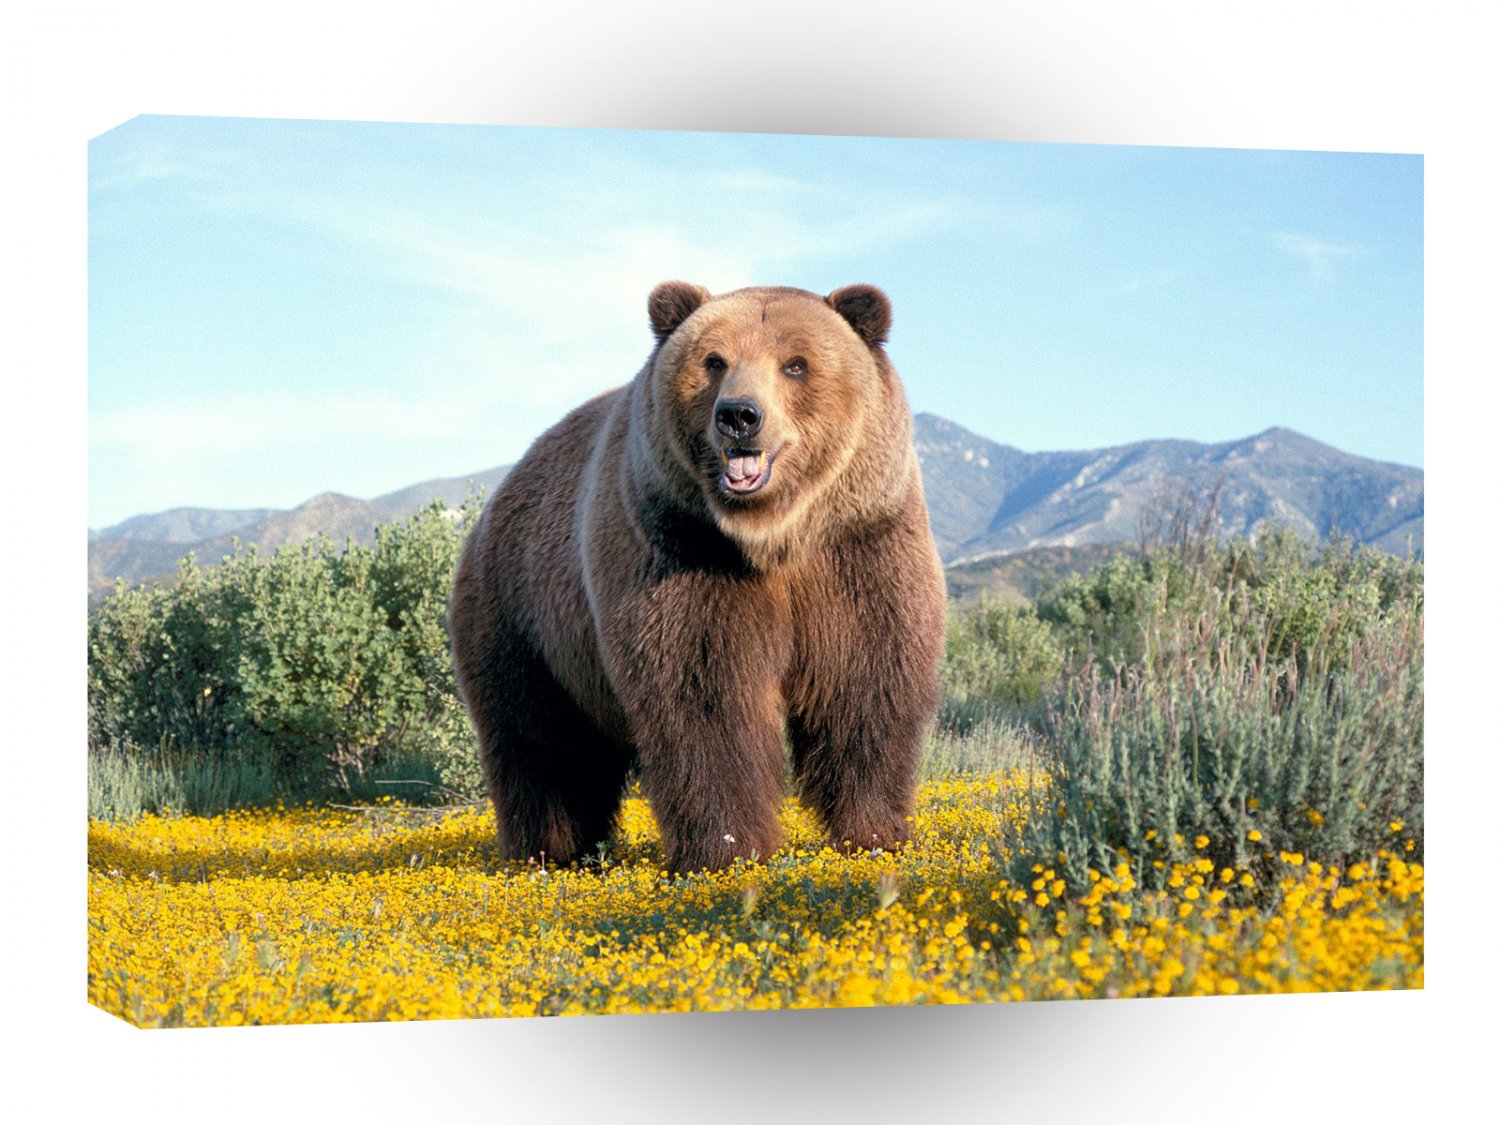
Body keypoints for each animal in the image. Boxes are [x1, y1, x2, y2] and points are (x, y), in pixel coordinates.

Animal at [448, 282, 947, 873]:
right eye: (714, 360)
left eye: (795, 364)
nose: (739, 415)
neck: (773, 536)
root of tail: (496, 500)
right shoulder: (681, 552)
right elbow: (704, 697)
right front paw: (727, 849)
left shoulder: (859, 547)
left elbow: (864, 683)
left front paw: (875, 833)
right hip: (523, 616)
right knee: (540, 742)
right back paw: (548, 851)